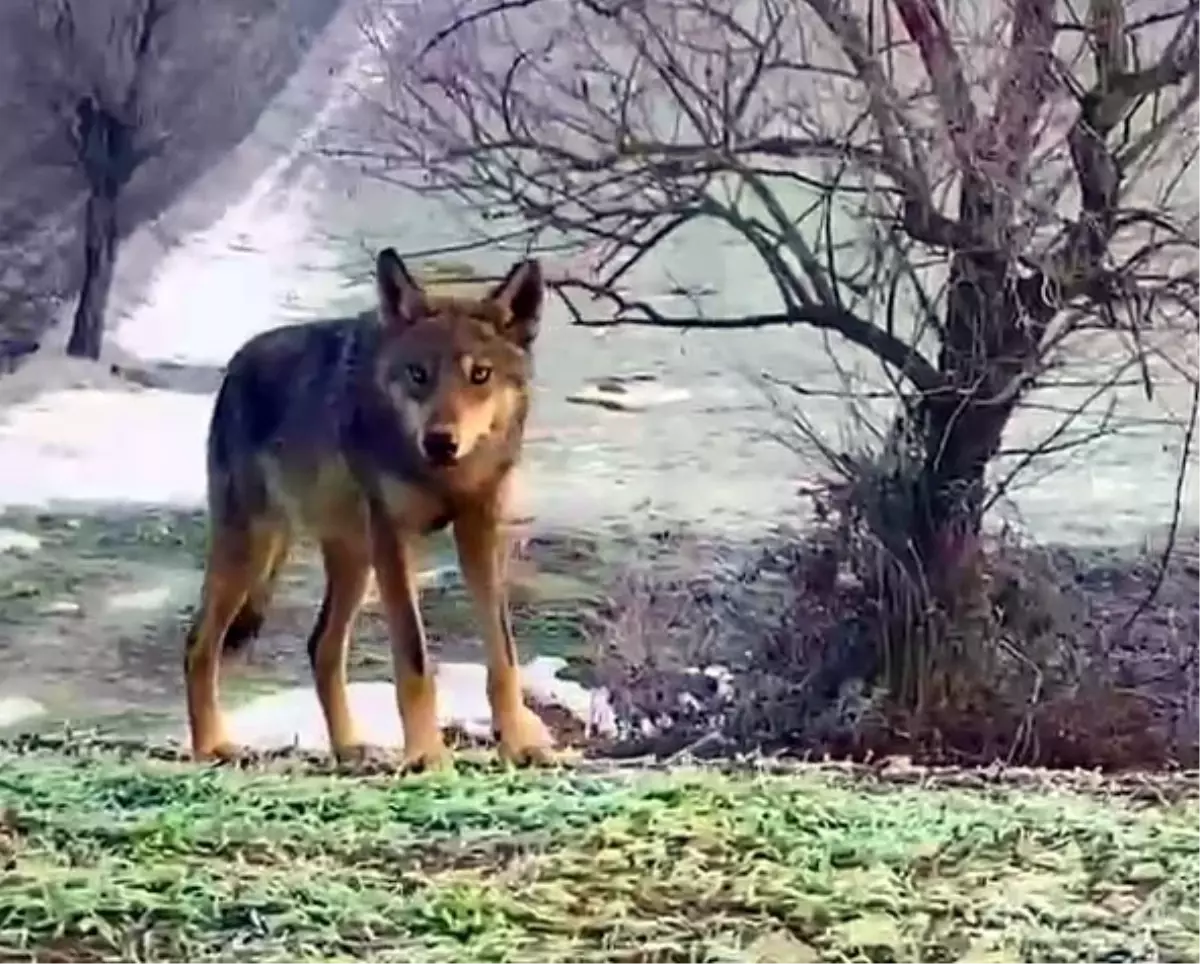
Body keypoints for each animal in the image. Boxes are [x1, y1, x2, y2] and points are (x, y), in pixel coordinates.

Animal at [183, 248, 556, 768]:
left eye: (480, 374)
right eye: (418, 374)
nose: (440, 441)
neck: (444, 476)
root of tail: (238, 362)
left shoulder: (480, 532)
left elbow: (504, 654)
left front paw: (520, 743)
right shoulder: (394, 539)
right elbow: (414, 657)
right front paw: (427, 755)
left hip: (353, 561)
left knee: (321, 647)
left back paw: (350, 748)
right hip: (255, 550)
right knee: (199, 644)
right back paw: (211, 746)